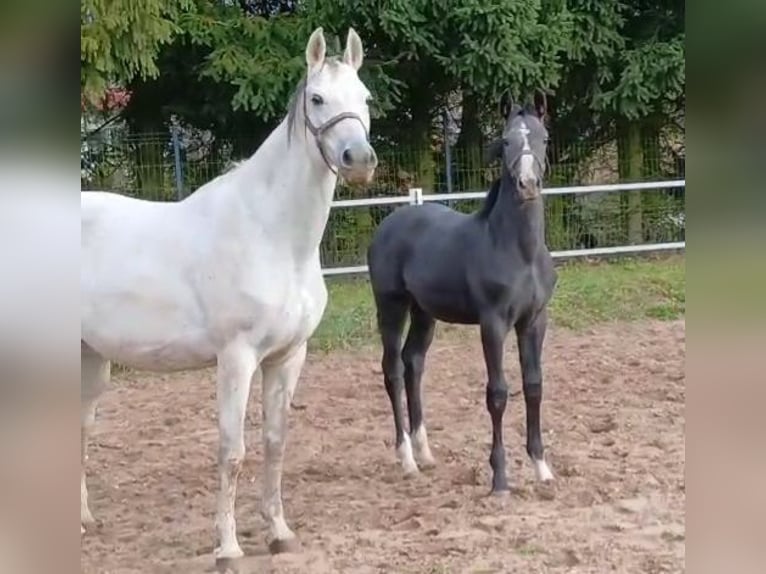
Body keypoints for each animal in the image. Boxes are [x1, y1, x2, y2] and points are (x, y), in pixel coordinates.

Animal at [81, 27, 377, 561]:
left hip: (89, 359)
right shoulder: (236, 358)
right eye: (317, 98)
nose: (358, 161)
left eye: (365, 98)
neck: (272, 234)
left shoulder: (288, 356)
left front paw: (279, 533)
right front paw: (228, 548)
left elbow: (275, 442)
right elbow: (232, 451)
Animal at [366, 91, 556, 495]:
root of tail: (389, 223)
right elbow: (497, 393)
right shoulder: (493, 323)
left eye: (544, 138)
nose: (527, 184)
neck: (519, 251)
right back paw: (407, 459)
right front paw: (500, 480)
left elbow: (533, 386)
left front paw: (542, 468)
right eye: (505, 141)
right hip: (391, 307)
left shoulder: (534, 321)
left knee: (413, 362)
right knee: (392, 369)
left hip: (424, 312)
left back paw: (425, 452)